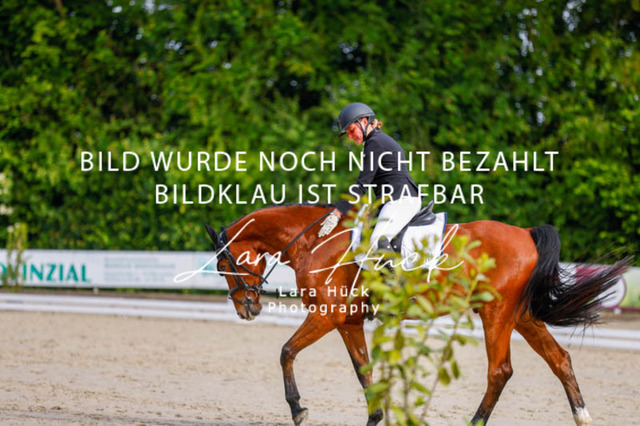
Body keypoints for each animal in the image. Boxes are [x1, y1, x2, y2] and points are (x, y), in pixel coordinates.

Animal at [204, 203, 629, 426]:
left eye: (224, 266)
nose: (247, 309)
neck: (314, 240)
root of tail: (526, 233)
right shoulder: (349, 321)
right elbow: (364, 371)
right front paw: (375, 417)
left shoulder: (327, 316)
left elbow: (286, 352)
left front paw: (297, 409)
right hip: (522, 317)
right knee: (560, 359)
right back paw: (582, 416)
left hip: (496, 314)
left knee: (500, 371)